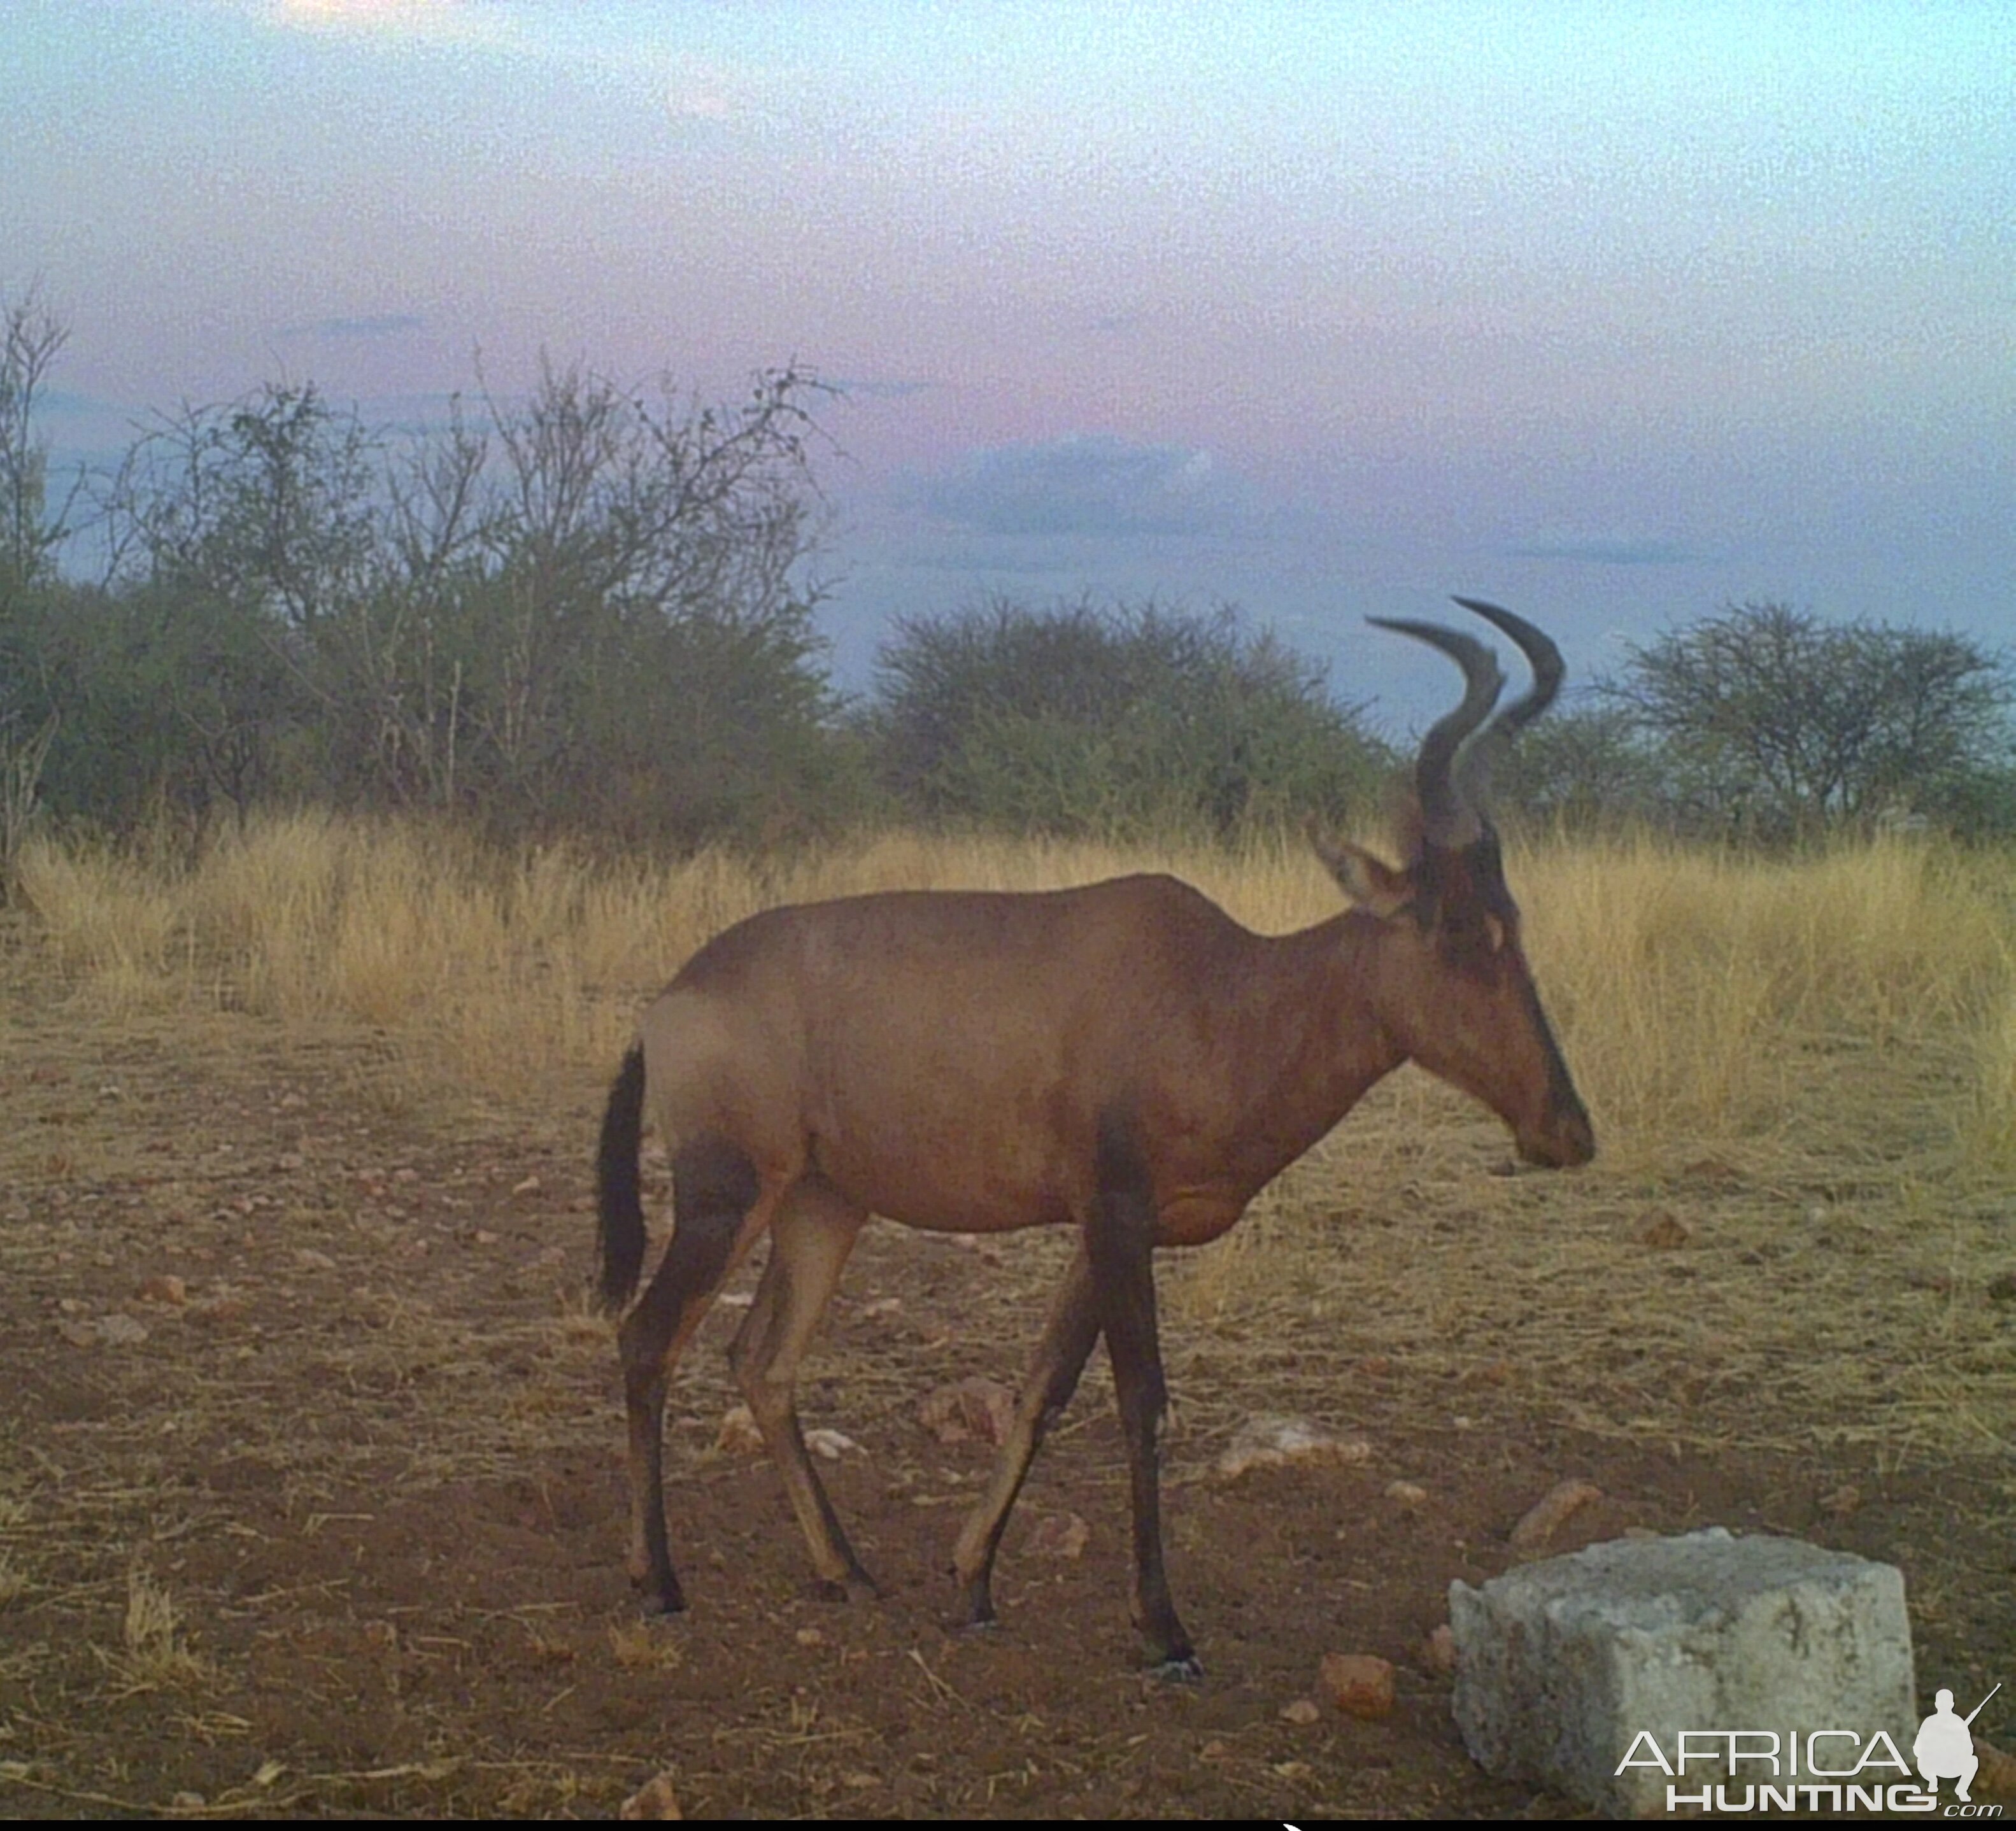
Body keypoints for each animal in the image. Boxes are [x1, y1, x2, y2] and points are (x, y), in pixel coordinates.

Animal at [592, 597, 1588, 1669]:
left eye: (1513, 916)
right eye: (1454, 928)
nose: (1565, 1131)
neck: (1216, 988)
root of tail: (667, 1004)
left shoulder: (1103, 1231)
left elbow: (1043, 1389)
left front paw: (973, 1582)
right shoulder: (1115, 1213)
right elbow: (1140, 1399)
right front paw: (1164, 1627)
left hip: (822, 1206)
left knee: (761, 1362)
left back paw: (845, 1572)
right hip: (726, 1195)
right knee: (647, 1338)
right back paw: (659, 1583)